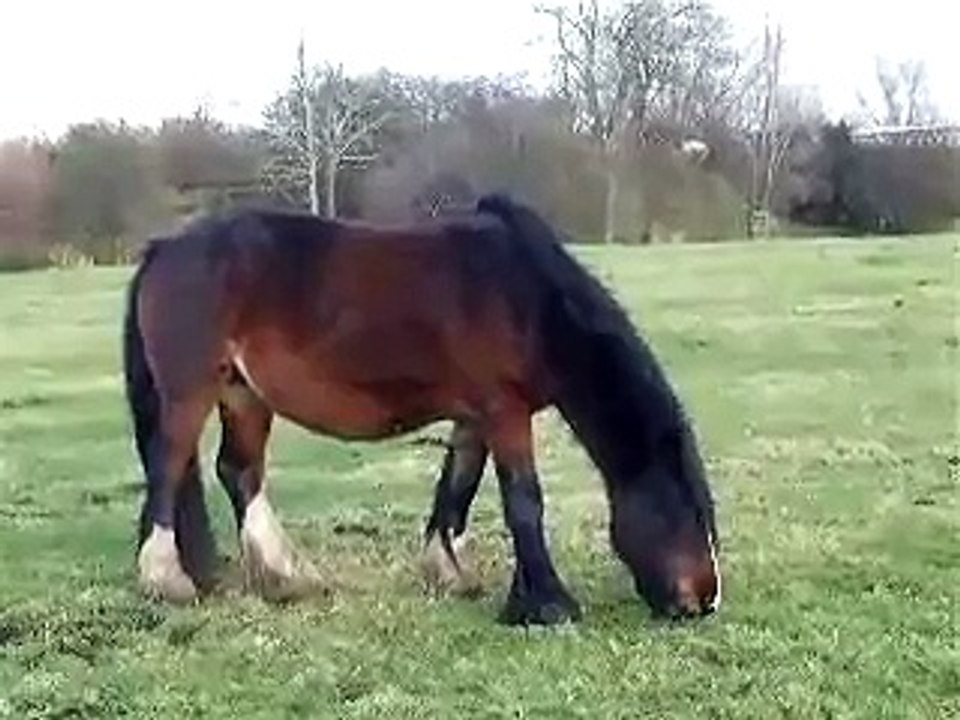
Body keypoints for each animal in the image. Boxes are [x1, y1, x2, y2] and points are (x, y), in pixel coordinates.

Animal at [122, 193, 721, 625]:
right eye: (685, 510)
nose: (704, 601)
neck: (529, 298)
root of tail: (162, 249)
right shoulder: (504, 412)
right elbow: (524, 501)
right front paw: (548, 605)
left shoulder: (474, 416)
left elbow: (457, 488)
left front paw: (450, 574)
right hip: (190, 391)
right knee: (168, 468)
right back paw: (167, 580)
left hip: (243, 393)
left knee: (238, 471)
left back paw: (288, 578)